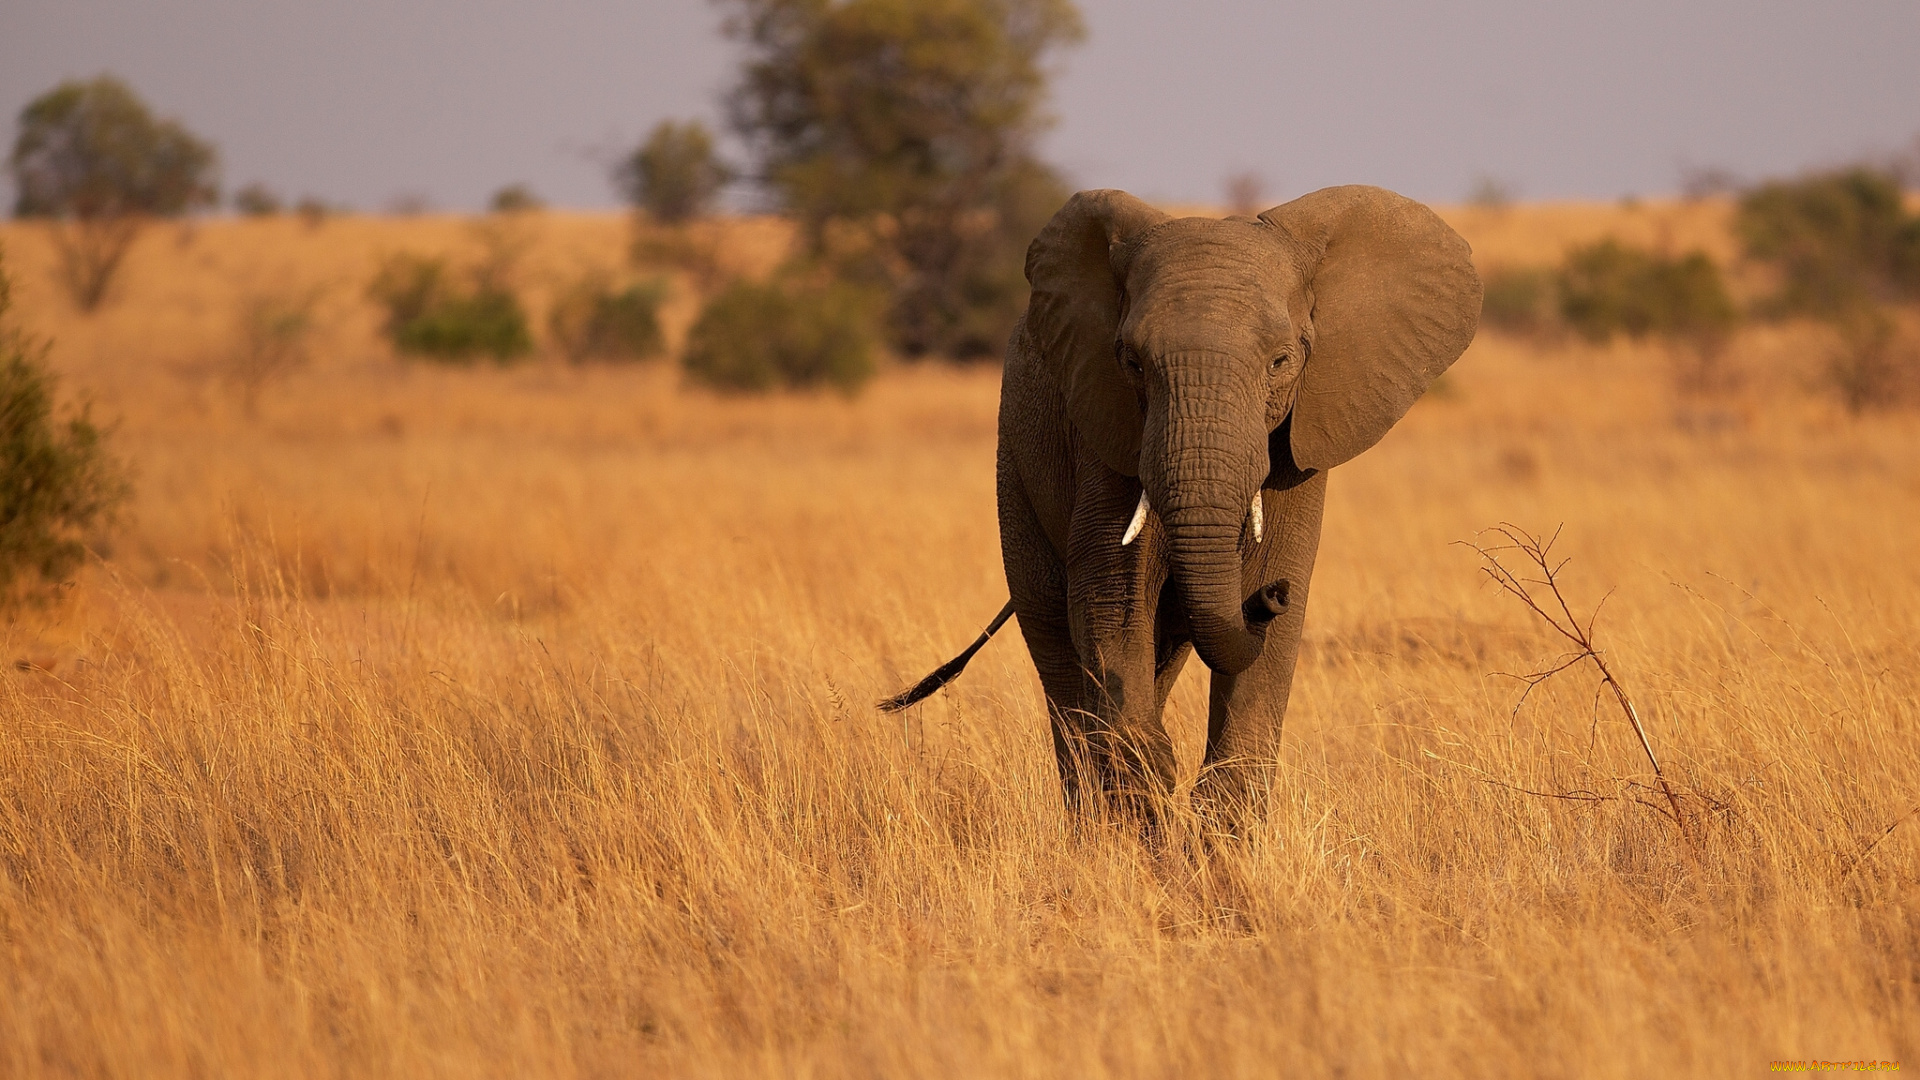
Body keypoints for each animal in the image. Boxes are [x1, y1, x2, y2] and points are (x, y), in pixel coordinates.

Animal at [883, 184, 1482, 818]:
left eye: (1282, 361)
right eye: (1131, 361)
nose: (1269, 599)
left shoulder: (1302, 441)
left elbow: (1272, 612)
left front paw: (1209, 825)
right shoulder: (1108, 420)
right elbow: (1109, 595)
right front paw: (1148, 780)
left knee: (1160, 652)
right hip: (1014, 465)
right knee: (1054, 637)